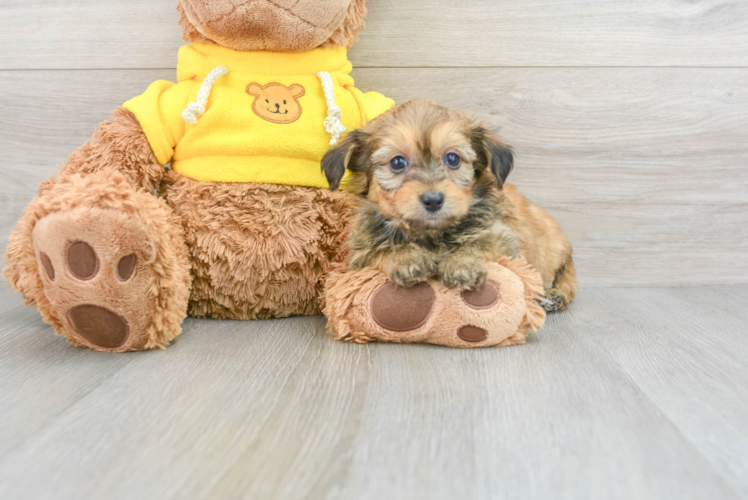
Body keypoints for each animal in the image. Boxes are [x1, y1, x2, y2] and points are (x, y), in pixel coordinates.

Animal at [322, 99, 580, 310]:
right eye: (397, 162)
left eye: (453, 158)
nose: (433, 199)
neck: (431, 233)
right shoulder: (359, 255)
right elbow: (381, 251)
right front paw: (406, 258)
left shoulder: (504, 240)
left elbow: (479, 244)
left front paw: (461, 264)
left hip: (560, 254)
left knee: (567, 282)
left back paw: (552, 296)